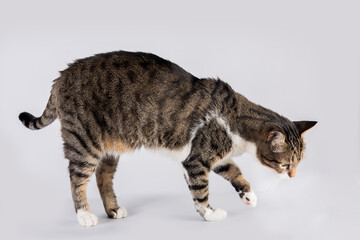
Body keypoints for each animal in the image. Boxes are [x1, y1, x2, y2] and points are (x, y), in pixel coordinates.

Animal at [19, 50, 316, 227]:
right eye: (285, 164)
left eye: (298, 163)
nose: (292, 176)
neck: (233, 117)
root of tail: (61, 77)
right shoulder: (197, 159)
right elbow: (201, 191)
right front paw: (211, 214)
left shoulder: (216, 157)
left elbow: (235, 172)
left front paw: (248, 195)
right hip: (85, 141)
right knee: (77, 177)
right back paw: (84, 215)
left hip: (110, 146)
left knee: (104, 176)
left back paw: (114, 210)